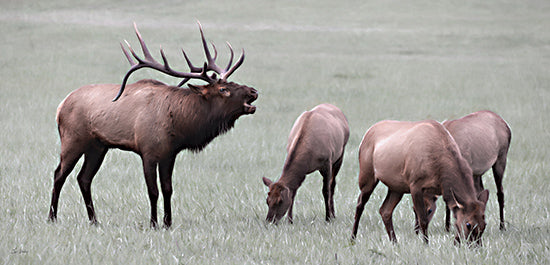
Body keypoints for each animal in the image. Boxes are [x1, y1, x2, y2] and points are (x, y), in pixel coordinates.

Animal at [48, 22, 260, 227]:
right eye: (223, 89)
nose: (254, 91)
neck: (180, 125)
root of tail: (60, 106)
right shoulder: (148, 151)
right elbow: (153, 191)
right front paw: (153, 223)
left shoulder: (169, 154)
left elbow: (167, 189)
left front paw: (168, 223)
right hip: (73, 140)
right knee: (59, 174)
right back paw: (52, 217)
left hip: (97, 146)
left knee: (84, 178)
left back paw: (94, 220)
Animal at [352, 118, 490, 244]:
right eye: (468, 224)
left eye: (484, 224)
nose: (476, 246)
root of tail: (367, 134)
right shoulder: (415, 184)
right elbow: (423, 220)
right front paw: (426, 244)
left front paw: (455, 243)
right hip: (367, 175)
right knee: (360, 204)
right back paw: (353, 238)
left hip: (397, 187)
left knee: (385, 210)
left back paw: (395, 242)